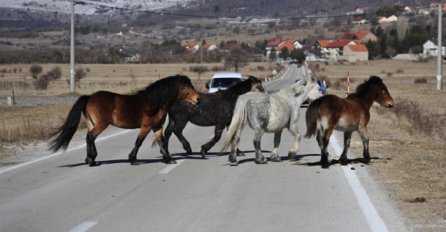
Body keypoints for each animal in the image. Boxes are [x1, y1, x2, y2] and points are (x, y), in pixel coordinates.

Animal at [48, 74, 199, 165]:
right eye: (186, 86)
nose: (197, 99)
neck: (154, 103)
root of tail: (89, 97)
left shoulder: (157, 127)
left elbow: (162, 142)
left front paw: (168, 159)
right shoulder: (146, 126)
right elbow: (139, 142)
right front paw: (133, 159)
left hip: (92, 123)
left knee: (89, 138)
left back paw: (90, 159)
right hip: (101, 124)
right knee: (90, 137)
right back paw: (92, 160)